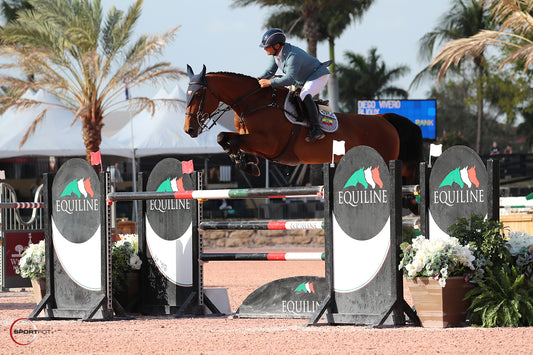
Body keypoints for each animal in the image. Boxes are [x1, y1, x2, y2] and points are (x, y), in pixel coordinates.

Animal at [185, 64, 422, 186]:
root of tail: (384, 119)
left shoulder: (269, 143)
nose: (189, 130)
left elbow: (228, 138)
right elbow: (226, 138)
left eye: (197, 94)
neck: (252, 103)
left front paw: (246, 163)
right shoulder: (252, 140)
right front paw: (247, 163)